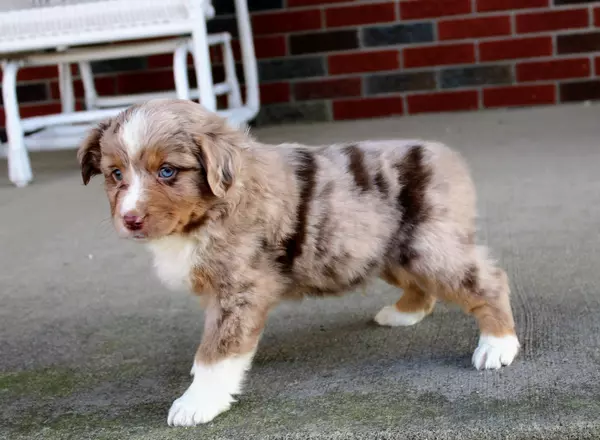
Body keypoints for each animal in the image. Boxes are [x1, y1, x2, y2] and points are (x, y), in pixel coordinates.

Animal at [77, 99, 520, 426]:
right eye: (115, 174)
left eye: (167, 171)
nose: (130, 219)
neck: (210, 209)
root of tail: (446, 156)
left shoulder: (239, 290)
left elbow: (216, 351)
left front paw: (196, 403)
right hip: (389, 249)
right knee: (424, 286)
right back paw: (404, 313)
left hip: (428, 246)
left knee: (488, 279)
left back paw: (497, 345)